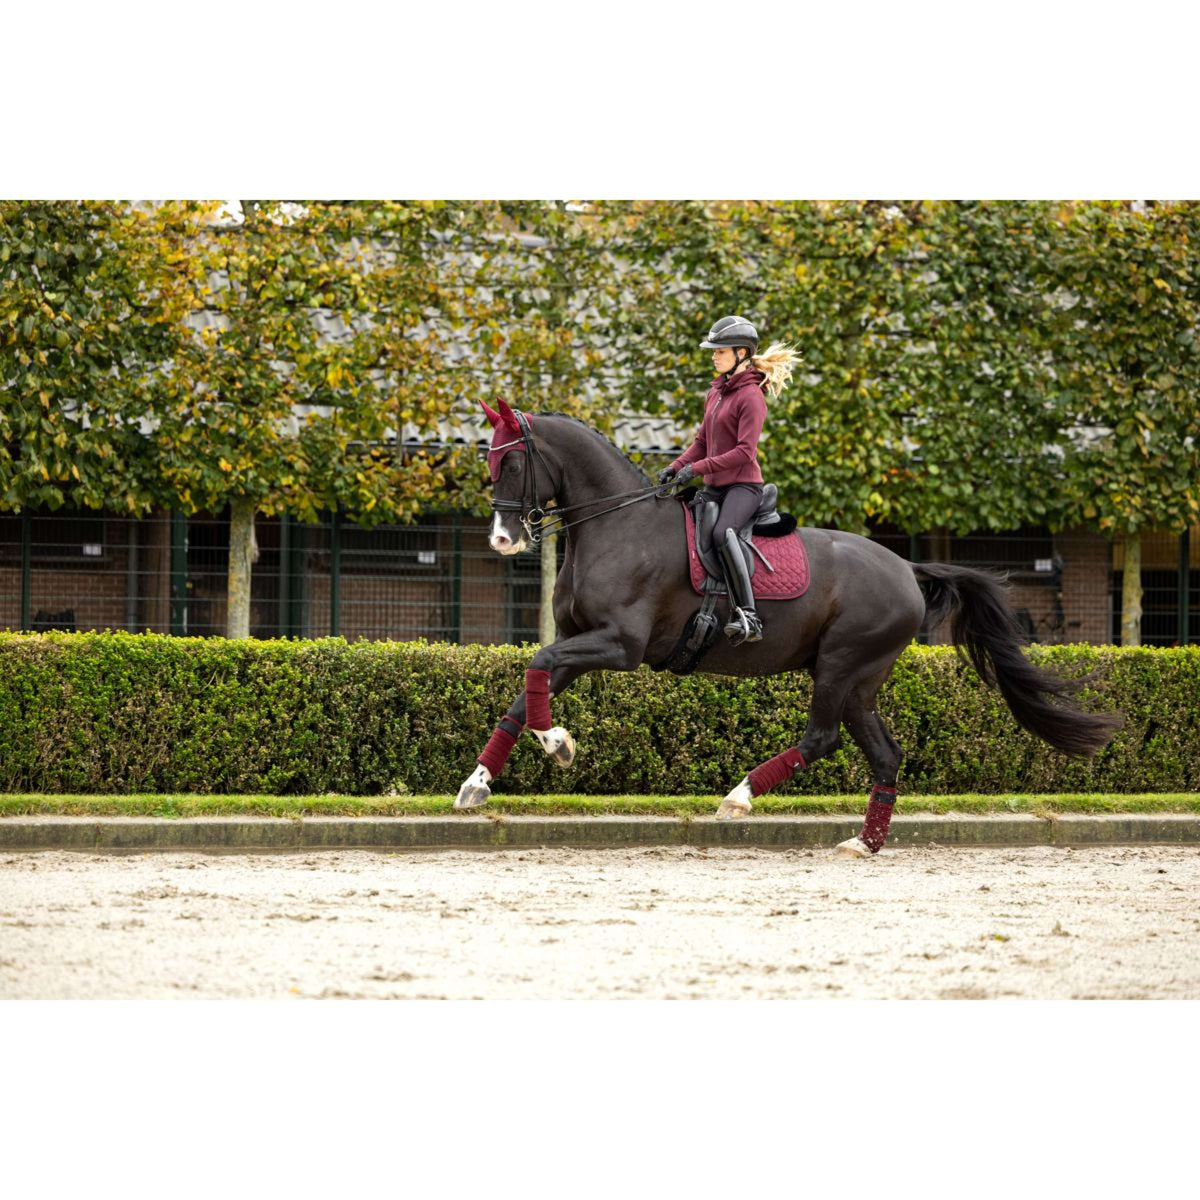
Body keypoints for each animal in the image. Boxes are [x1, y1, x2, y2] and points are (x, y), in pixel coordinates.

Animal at [451, 396, 1123, 854]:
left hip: (841, 665)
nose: (503, 539)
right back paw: (864, 843)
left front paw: (557, 744)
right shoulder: (576, 641)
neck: (618, 526)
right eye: (490, 461)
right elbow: (526, 691)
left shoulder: (619, 646)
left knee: (821, 738)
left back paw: (739, 797)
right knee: (885, 753)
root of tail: (905, 567)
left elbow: (537, 669)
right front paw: (483, 780)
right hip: (859, 681)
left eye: (512, 464)